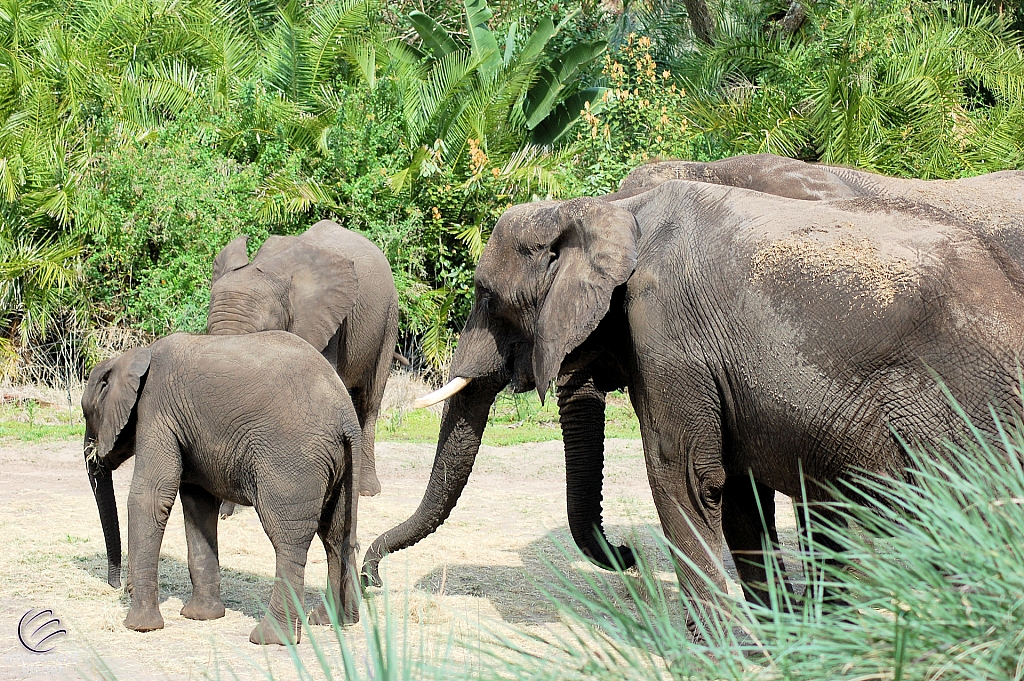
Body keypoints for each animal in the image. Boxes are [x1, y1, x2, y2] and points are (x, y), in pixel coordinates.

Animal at [83, 331, 364, 647]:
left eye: (86, 414)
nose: (117, 585)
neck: (133, 356)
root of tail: (347, 419)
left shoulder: (156, 411)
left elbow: (150, 498)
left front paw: (140, 627)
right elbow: (198, 504)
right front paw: (201, 616)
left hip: (292, 460)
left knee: (289, 539)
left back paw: (270, 638)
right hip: (341, 464)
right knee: (336, 534)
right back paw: (332, 621)